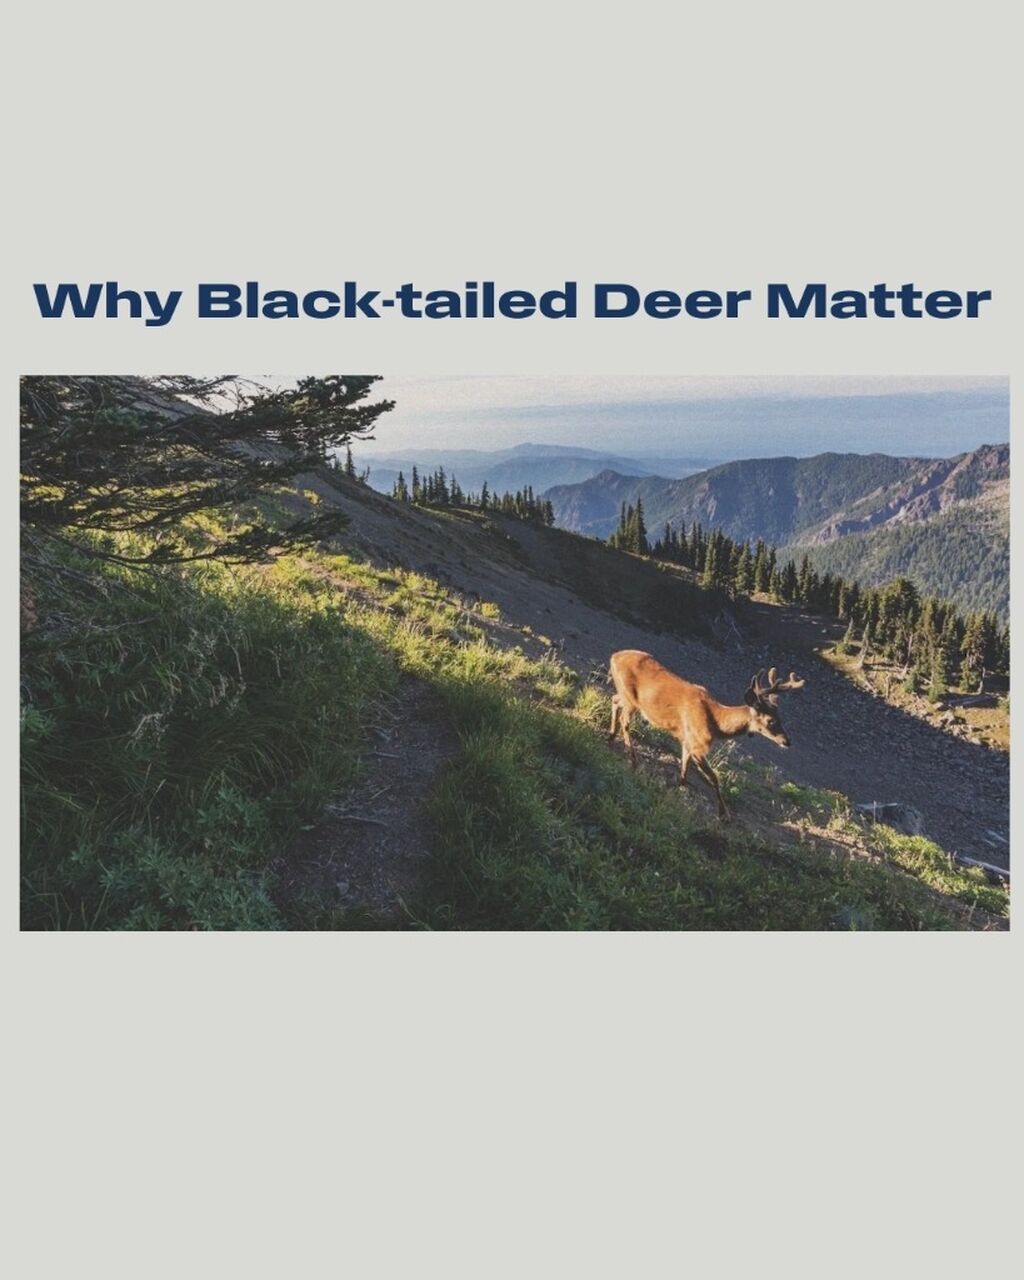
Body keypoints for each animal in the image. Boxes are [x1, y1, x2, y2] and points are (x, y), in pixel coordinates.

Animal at [607, 650, 805, 820]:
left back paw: (611, 736)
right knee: (625, 720)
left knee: (614, 700)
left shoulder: (688, 741)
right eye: (770, 720)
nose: (787, 741)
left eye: (781, 718)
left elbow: (684, 767)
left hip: (625, 696)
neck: (716, 721)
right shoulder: (698, 744)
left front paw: (680, 788)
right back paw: (633, 759)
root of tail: (614, 656)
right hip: (630, 697)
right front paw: (724, 814)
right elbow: (714, 778)